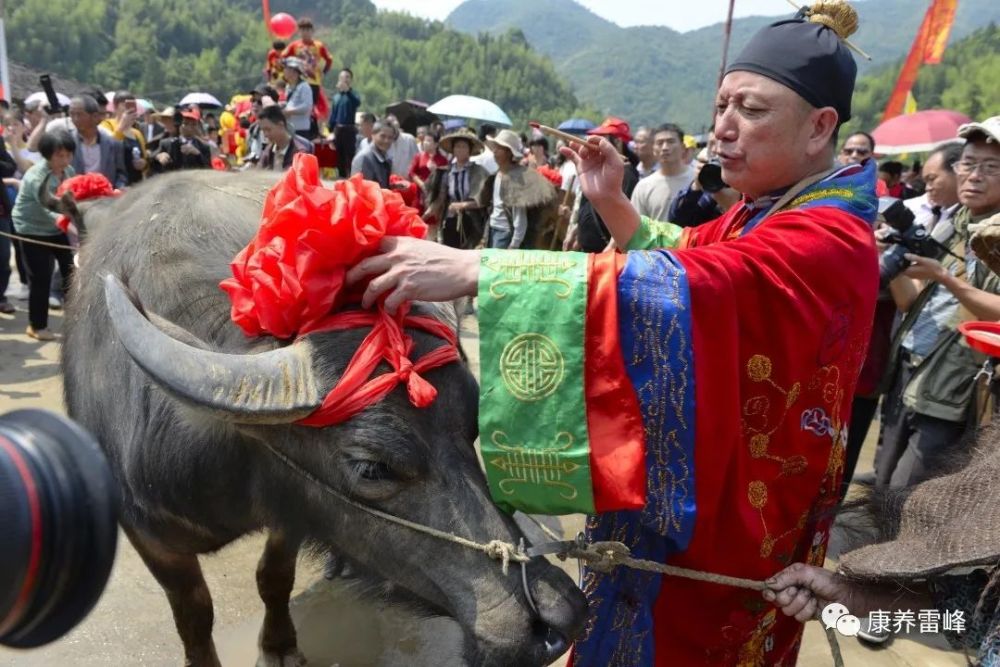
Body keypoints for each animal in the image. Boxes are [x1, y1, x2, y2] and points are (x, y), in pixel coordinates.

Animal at [60, 170, 584, 664]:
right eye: (371, 468)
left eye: (470, 429)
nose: (553, 622)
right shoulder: (149, 535)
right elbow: (193, 614)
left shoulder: (291, 514)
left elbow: (273, 577)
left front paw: (280, 645)